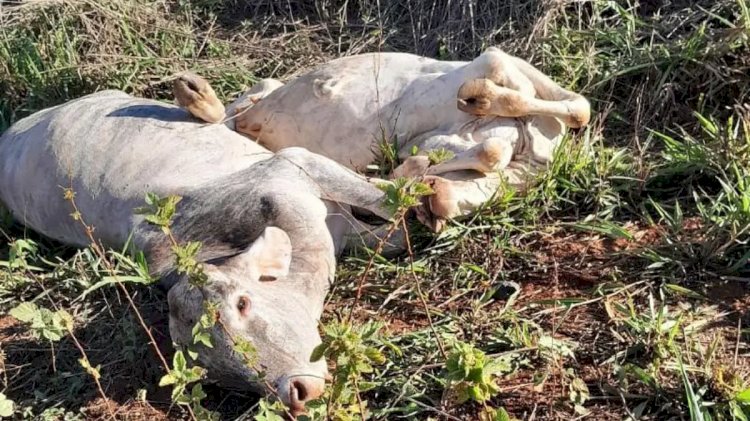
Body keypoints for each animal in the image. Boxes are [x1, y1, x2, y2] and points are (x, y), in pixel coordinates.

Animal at [0, 91, 413, 415]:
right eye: (217, 374)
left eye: (242, 303)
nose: (295, 392)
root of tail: (12, 133)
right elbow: (391, 234)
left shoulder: (293, 163)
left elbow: (384, 204)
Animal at [177, 47, 591, 231]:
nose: (429, 208)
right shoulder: (497, 62)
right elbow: (577, 108)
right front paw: (479, 97)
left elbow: (488, 153)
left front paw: (411, 176)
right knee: (244, 104)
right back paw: (195, 93)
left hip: (259, 122)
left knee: (249, 105)